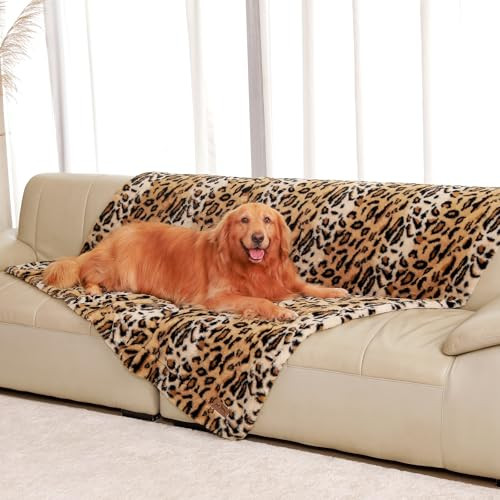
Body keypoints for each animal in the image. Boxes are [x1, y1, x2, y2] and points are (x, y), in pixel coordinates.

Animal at [43, 203, 348, 321]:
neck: (254, 268)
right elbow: (259, 300)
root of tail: (112, 237)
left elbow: (309, 287)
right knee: (86, 272)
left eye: (267, 220)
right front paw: (281, 311)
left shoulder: (286, 280)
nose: (258, 238)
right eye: (244, 220)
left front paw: (335, 291)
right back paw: (95, 289)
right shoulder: (217, 297)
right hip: (120, 269)